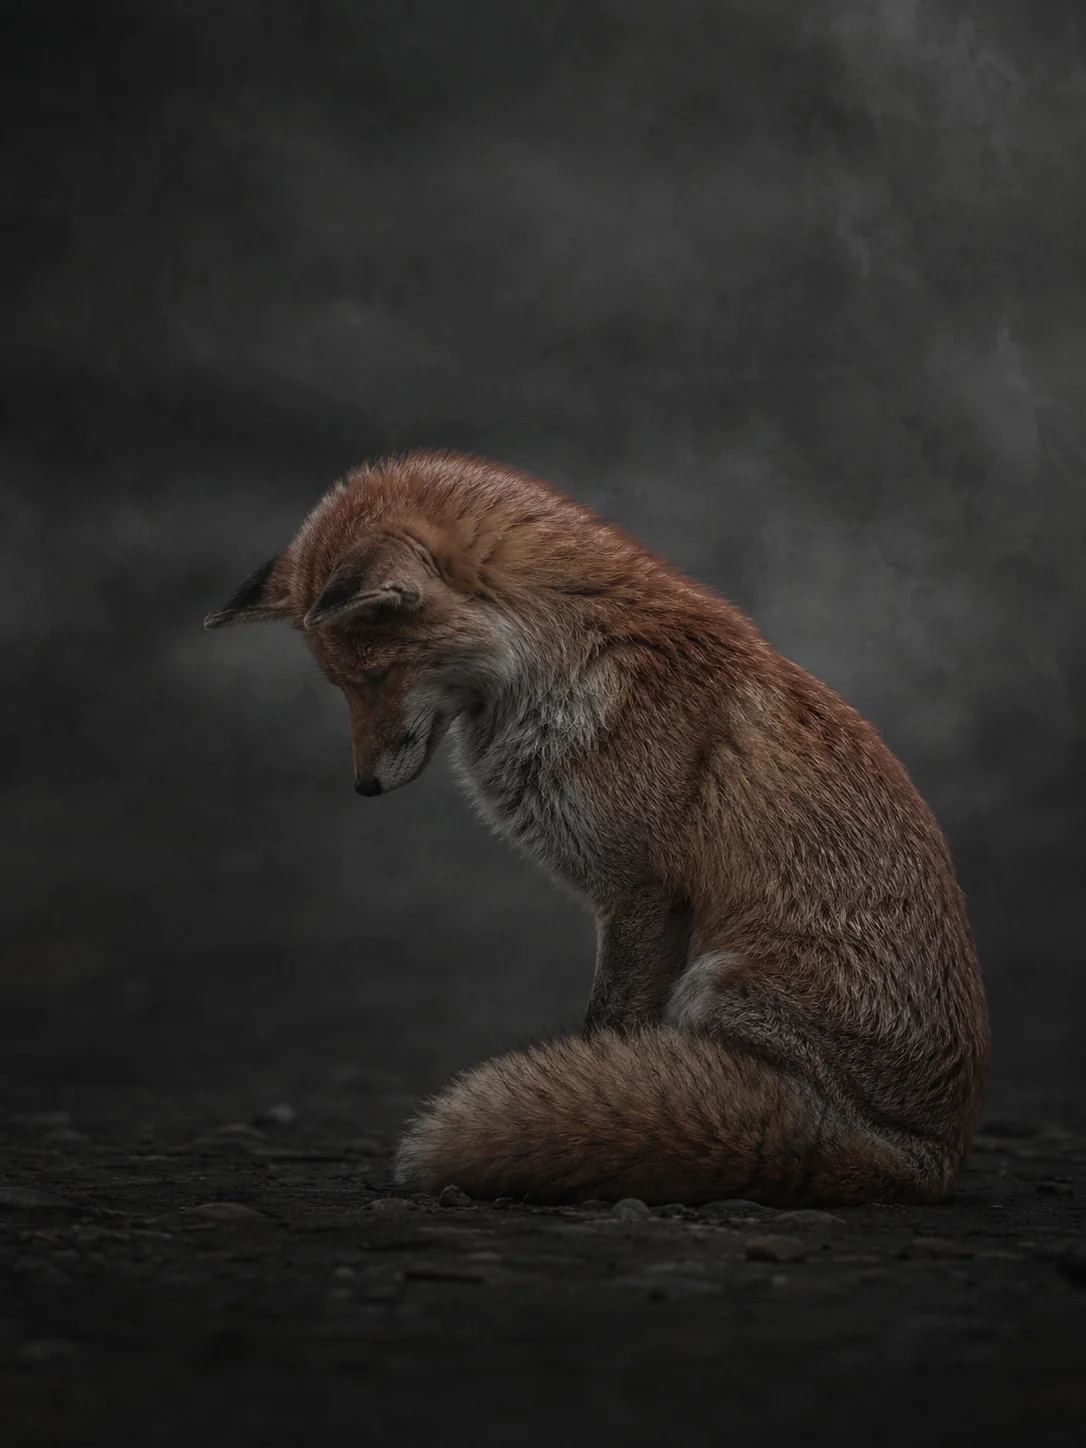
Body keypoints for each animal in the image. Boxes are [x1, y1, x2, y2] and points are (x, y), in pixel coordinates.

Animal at [205, 448, 989, 1207]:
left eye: (376, 675)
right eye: (340, 686)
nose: (363, 786)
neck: (565, 670)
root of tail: (927, 1162)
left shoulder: (644, 892)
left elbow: (608, 1031)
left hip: (717, 984)